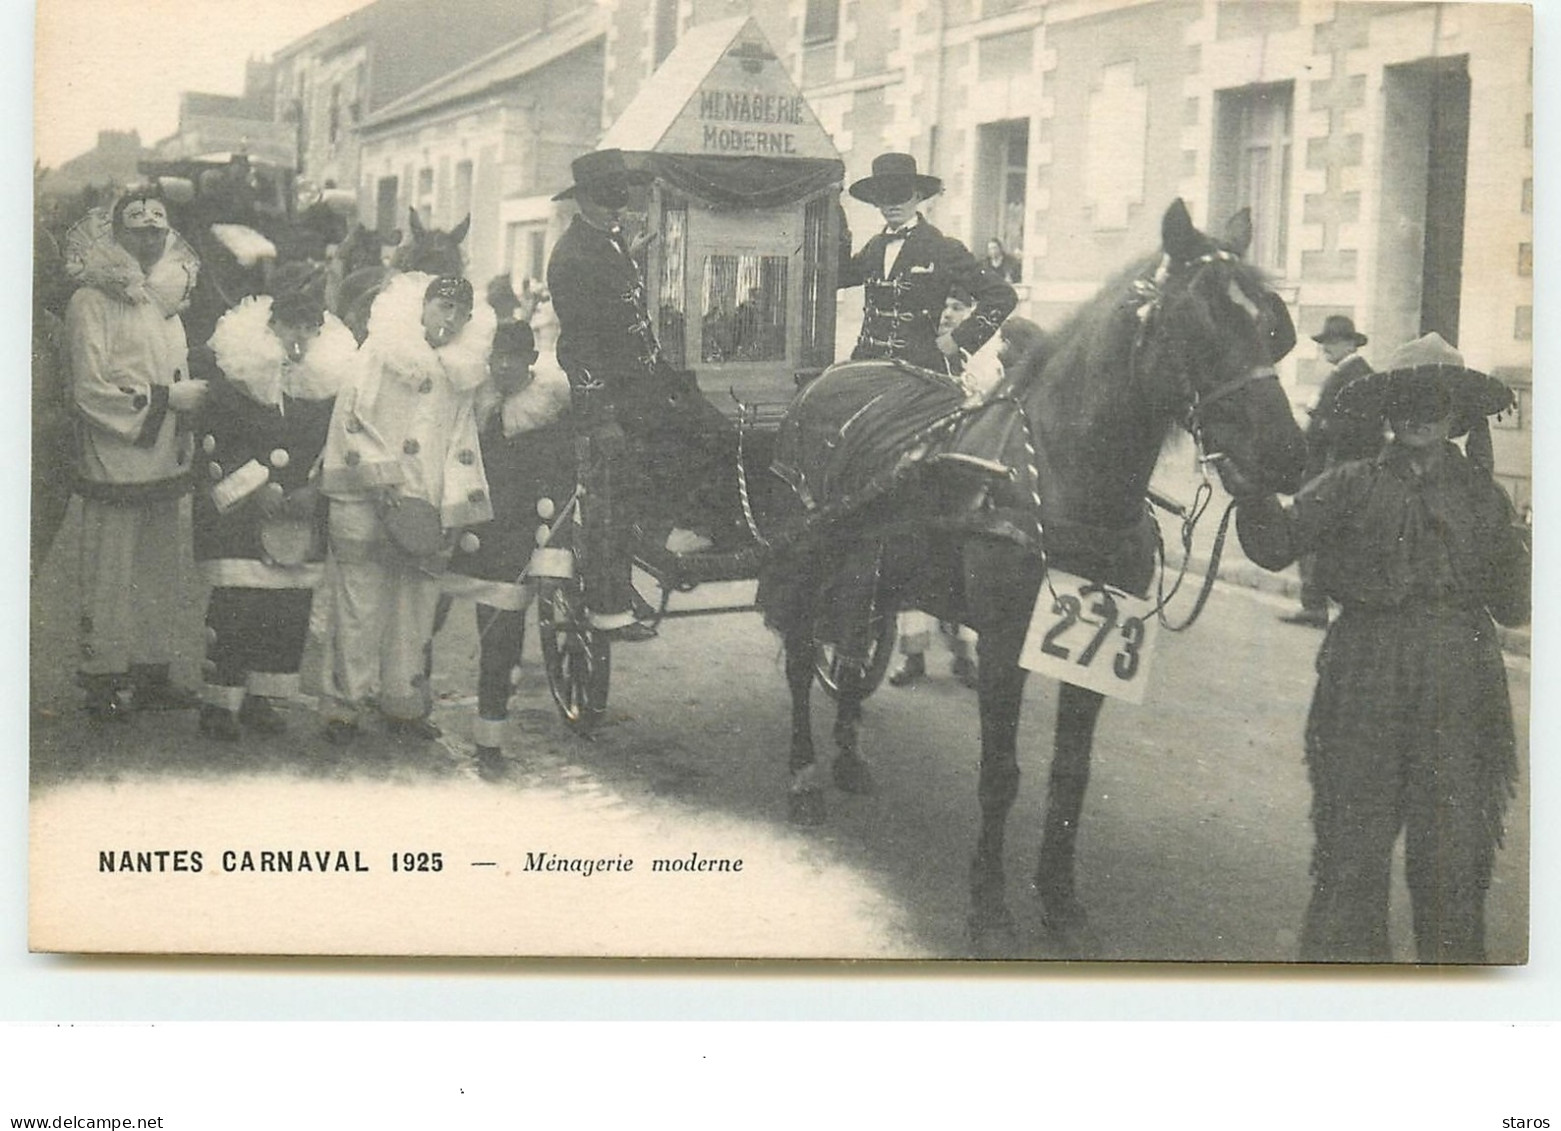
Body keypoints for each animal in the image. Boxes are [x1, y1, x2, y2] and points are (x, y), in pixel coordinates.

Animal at [755, 201, 1304, 935]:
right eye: (1198, 321)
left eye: (1273, 325)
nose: (1289, 454)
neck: (1063, 474)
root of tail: (824, 380)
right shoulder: (1003, 643)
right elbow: (1001, 772)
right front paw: (988, 901)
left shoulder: (1093, 654)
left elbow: (1070, 772)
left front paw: (1061, 895)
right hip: (808, 559)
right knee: (798, 661)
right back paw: (804, 776)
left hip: (869, 568)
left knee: (848, 647)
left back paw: (846, 755)